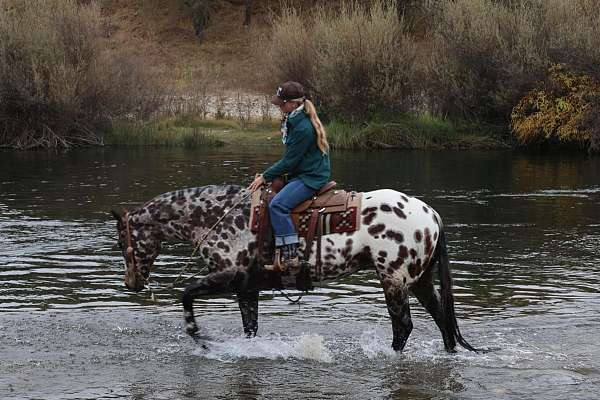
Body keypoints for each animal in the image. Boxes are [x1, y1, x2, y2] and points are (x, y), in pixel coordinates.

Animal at [112, 184, 478, 354]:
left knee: (403, 326)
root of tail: (430, 213)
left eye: (120, 241)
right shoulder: (247, 288)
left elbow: (187, 294)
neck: (216, 216)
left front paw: (198, 336)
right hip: (419, 279)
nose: (132, 283)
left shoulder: (230, 277)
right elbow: (250, 328)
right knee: (442, 318)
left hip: (395, 280)